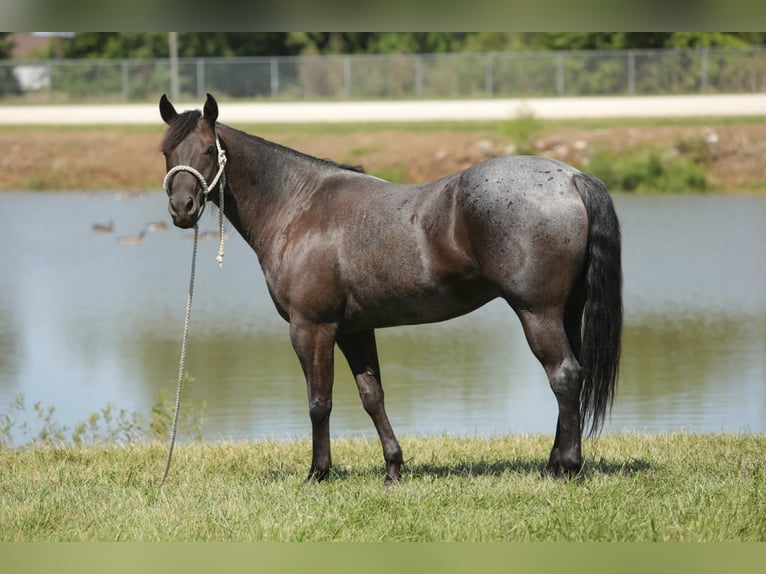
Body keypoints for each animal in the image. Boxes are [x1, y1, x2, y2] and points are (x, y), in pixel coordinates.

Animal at [159, 95, 620, 486]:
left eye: (207, 150)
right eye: (167, 151)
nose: (182, 209)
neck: (299, 206)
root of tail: (572, 178)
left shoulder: (312, 328)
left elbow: (319, 401)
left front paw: (317, 474)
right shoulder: (354, 330)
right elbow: (372, 397)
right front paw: (393, 469)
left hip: (536, 312)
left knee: (564, 375)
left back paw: (565, 468)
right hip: (565, 312)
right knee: (571, 378)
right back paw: (554, 463)